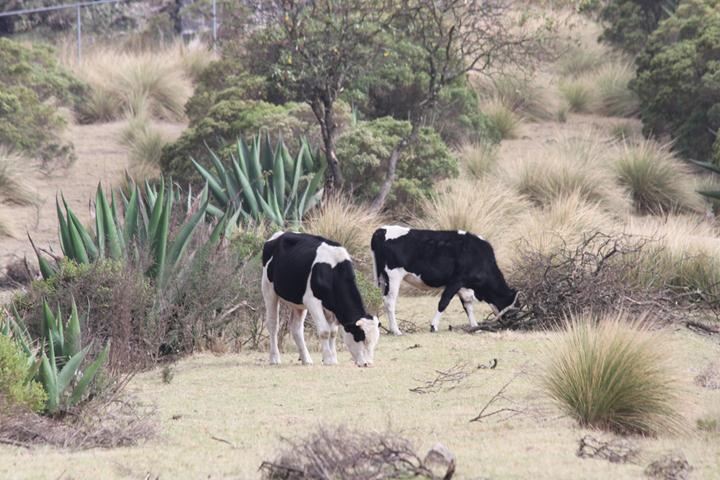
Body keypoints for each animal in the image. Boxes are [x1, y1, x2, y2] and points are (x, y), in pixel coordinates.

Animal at [262, 231, 380, 366]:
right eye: (360, 337)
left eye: (375, 341)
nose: (368, 364)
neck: (332, 270)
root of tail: (280, 234)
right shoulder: (312, 302)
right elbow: (325, 331)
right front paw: (328, 359)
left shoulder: (331, 307)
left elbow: (333, 332)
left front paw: (333, 358)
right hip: (268, 290)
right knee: (273, 324)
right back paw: (274, 358)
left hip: (299, 303)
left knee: (296, 328)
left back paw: (306, 359)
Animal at [372, 227, 516, 336]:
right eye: (516, 307)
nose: (512, 326)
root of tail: (381, 230)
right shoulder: (456, 281)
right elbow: (444, 303)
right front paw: (433, 326)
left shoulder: (464, 287)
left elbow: (468, 306)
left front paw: (476, 327)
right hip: (393, 276)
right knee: (389, 301)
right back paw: (396, 331)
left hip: (380, 278)